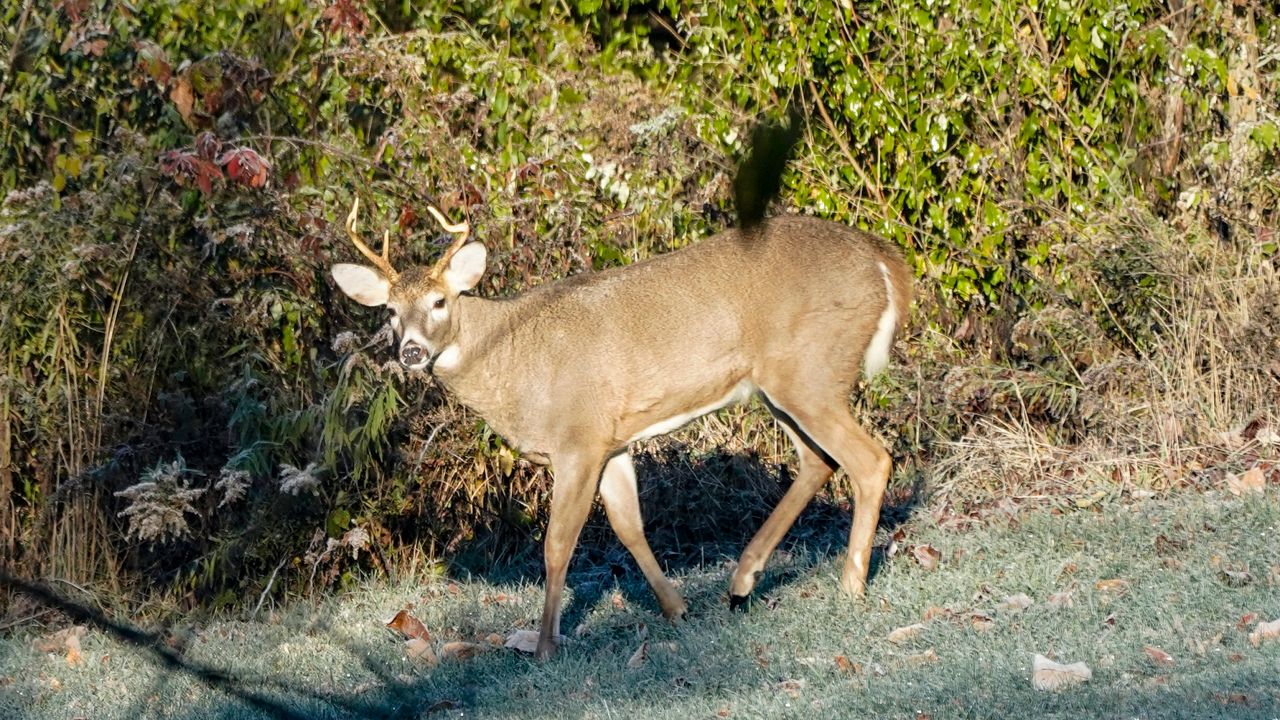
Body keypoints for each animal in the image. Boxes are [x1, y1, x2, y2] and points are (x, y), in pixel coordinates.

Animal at [330, 189, 911, 655]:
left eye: (439, 300)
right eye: (389, 312)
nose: (410, 351)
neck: (514, 359)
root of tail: (883, 262)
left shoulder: (577, 439)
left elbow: (557, 545)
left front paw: (545, 646)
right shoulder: (612, 442)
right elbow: (629, 525)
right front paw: (676, 609)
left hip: (810, 368)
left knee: (870, 459)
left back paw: (850, 585)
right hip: (779, 384)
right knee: (818, 460)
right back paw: (742, 583)